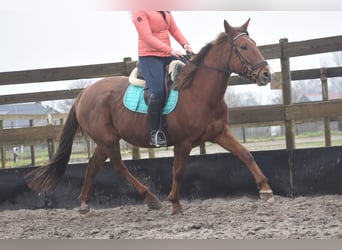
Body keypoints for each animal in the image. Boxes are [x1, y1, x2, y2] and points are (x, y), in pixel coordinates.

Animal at [26, 19, 276, 215]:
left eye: (254, 45)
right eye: (243, 47)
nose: (266, 75)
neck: (197, 92)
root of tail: (84, 93)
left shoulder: (220, 133)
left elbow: (246, 155)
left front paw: (266, 190)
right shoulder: (183, 143)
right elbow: (178, 171)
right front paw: (175, 204)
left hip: (106, 140)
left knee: (93, 165)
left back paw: (85, 204)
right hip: (108, 140)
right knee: (118, 166)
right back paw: (150, 198)